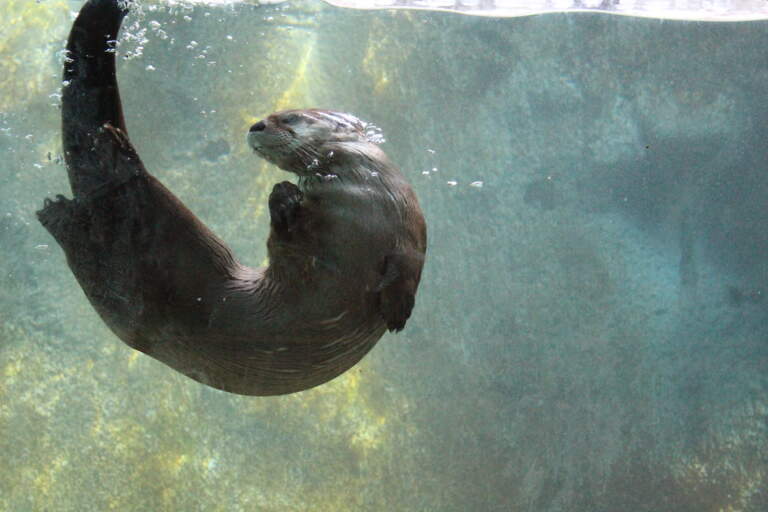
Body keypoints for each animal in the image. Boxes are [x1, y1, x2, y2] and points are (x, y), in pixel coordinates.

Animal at [36, 0, 426, 396]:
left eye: (289, 117)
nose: (257, 125)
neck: (361, 197)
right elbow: (284, 244)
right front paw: (283, 196)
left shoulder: (408, 230)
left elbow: (407, 269)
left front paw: (398, 311)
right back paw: (99, 164)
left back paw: (76, 192)